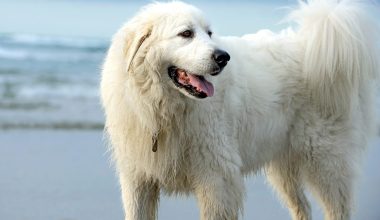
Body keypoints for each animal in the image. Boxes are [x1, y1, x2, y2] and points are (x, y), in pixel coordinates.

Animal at [99, 0, 378, 219]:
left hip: (326, 160)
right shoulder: (138, 180)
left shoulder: (217, 181)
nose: (223, 57)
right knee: (303, 207)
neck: (163, 108)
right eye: (186, 33)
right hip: (284, 167)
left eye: (209, 33)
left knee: (337, 209)